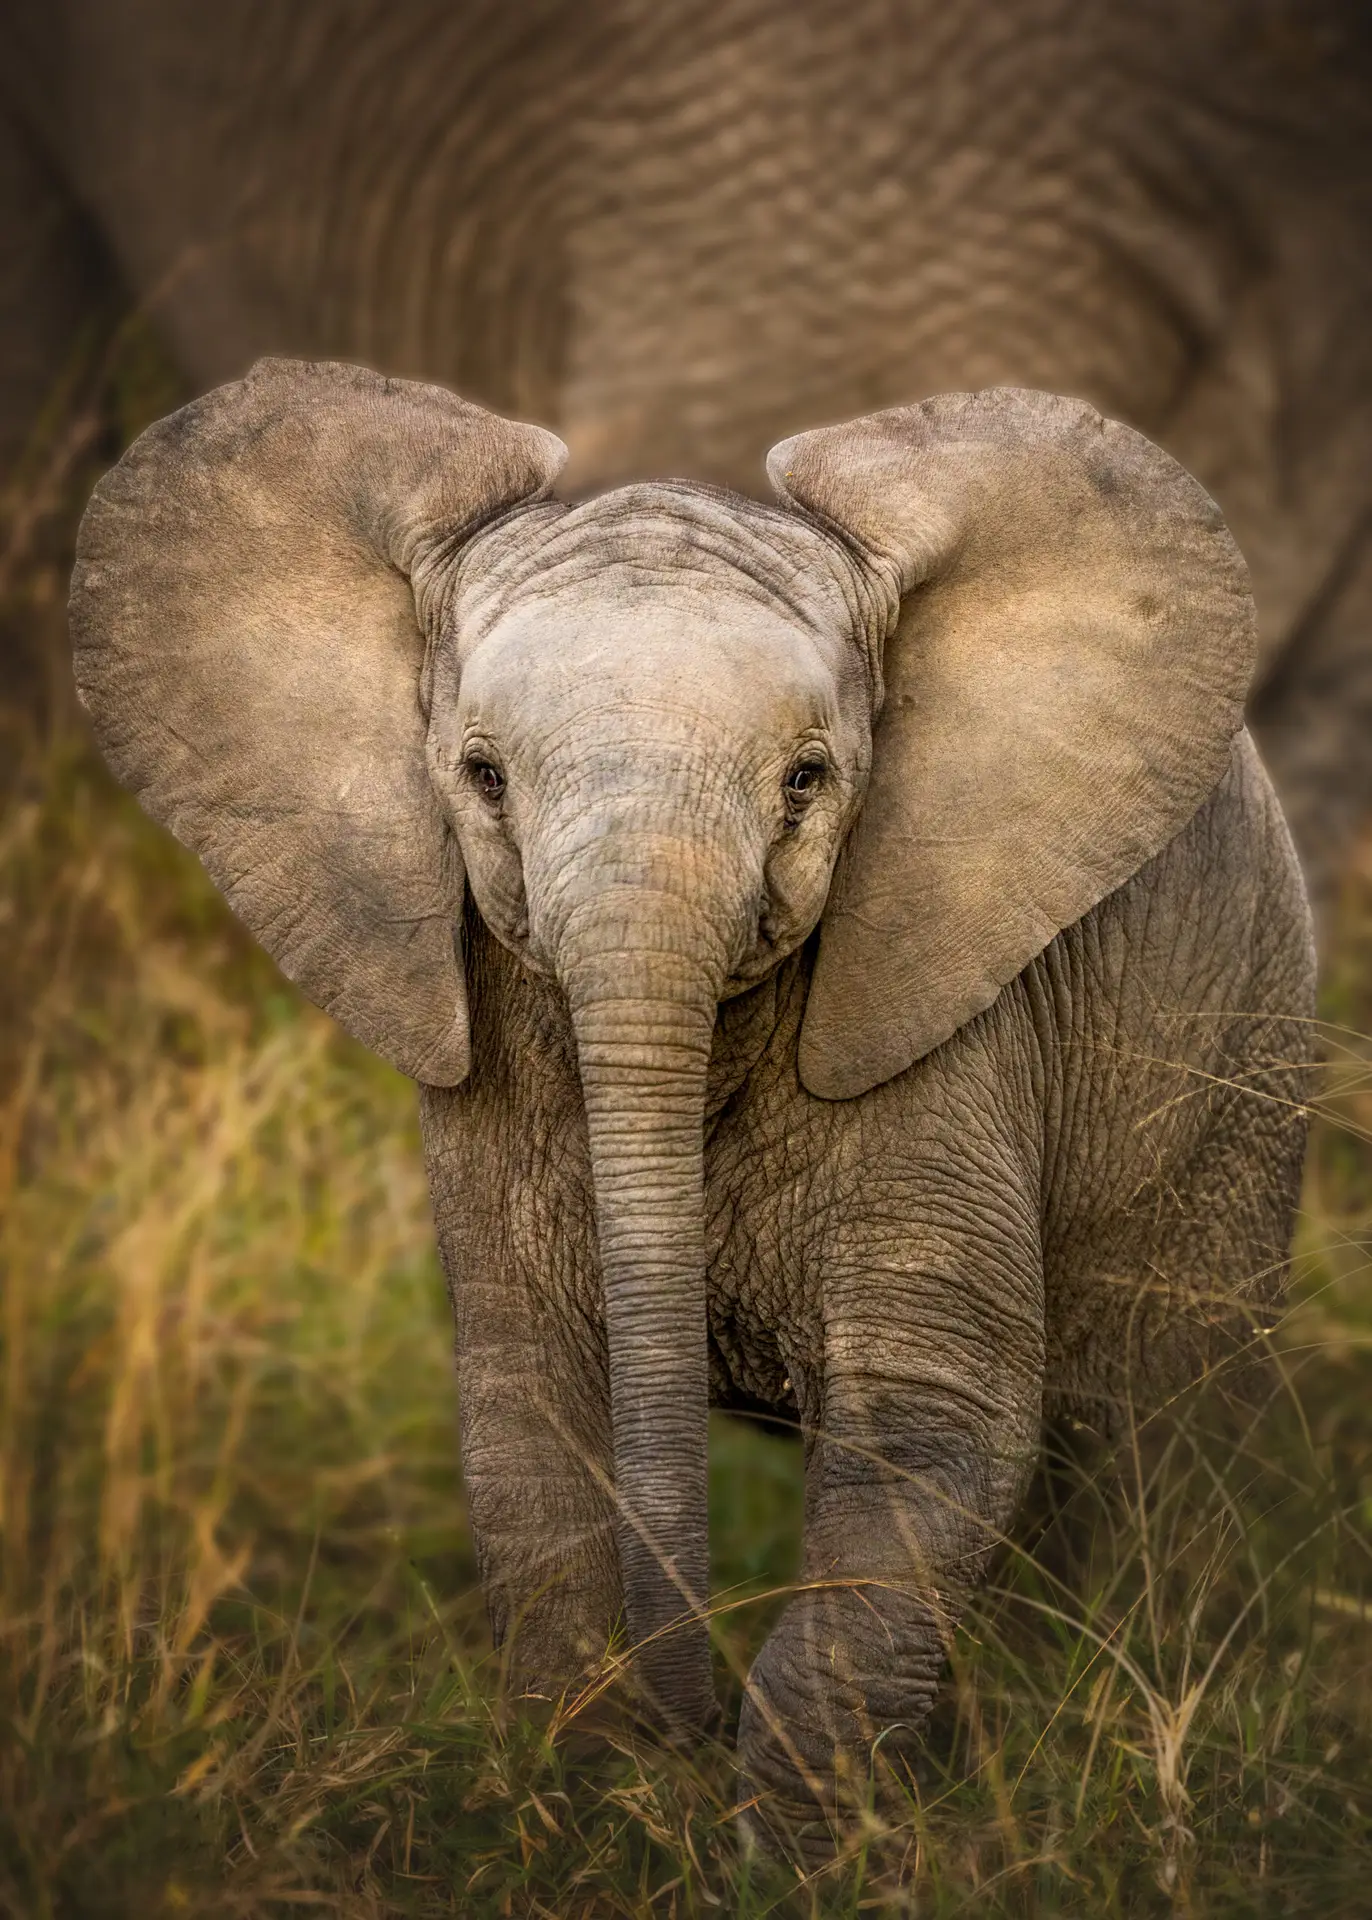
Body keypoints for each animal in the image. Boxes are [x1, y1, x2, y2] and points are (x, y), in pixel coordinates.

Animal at [69, 358, 1314, 1851]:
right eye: (482, 777)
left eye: (806, 782)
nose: (688, 1723)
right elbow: (532, 1425)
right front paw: (596, 1810)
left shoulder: (949, 1025)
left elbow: (931, 1420)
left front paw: (793, 1849)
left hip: (1239, 1072)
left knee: (1158, 1445)